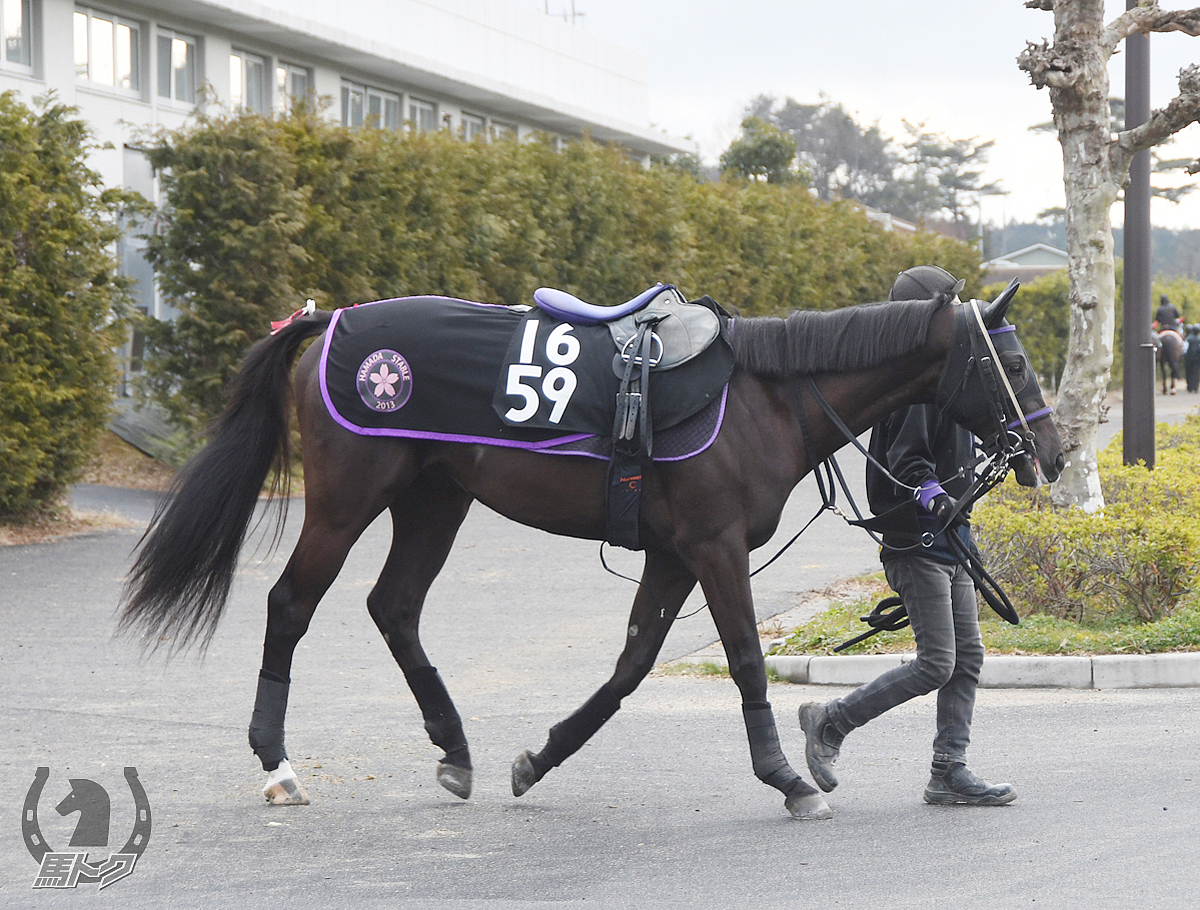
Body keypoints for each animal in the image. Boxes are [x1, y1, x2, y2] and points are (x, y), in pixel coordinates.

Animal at [119, 285, 1060, 821]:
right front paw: (788, 778)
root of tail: (329, 323)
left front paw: (537, 759)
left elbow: (631, 666)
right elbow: (746, 660)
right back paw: (277, 765)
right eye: (1012, 361)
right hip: (349, 499)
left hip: (435, 498)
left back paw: (454, 749)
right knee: (291, 605)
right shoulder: (713, 547)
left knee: (395, 608)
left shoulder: (674, 554)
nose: (1050, 455)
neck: (765, 395)